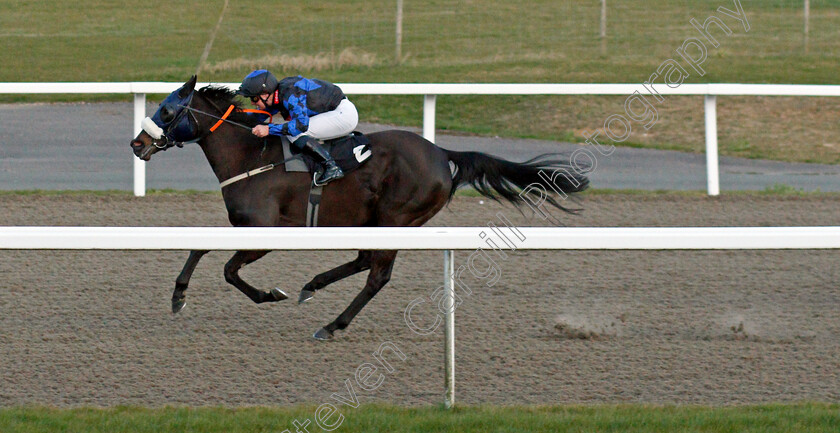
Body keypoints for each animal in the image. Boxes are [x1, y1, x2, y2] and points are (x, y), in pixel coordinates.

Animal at [133, 76, 592, 340]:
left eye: (168, 110)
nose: (138, 143)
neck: (252, 154)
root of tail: (442, 153)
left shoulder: (265, 231)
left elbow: (230, 271)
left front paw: (270, 293)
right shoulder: (242, 224)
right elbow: (199, 247)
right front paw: (178, 296)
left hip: (397, 218)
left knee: (378, 274)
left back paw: (332, 324)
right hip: (377, 219)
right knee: (365, 259)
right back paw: (313, 286)